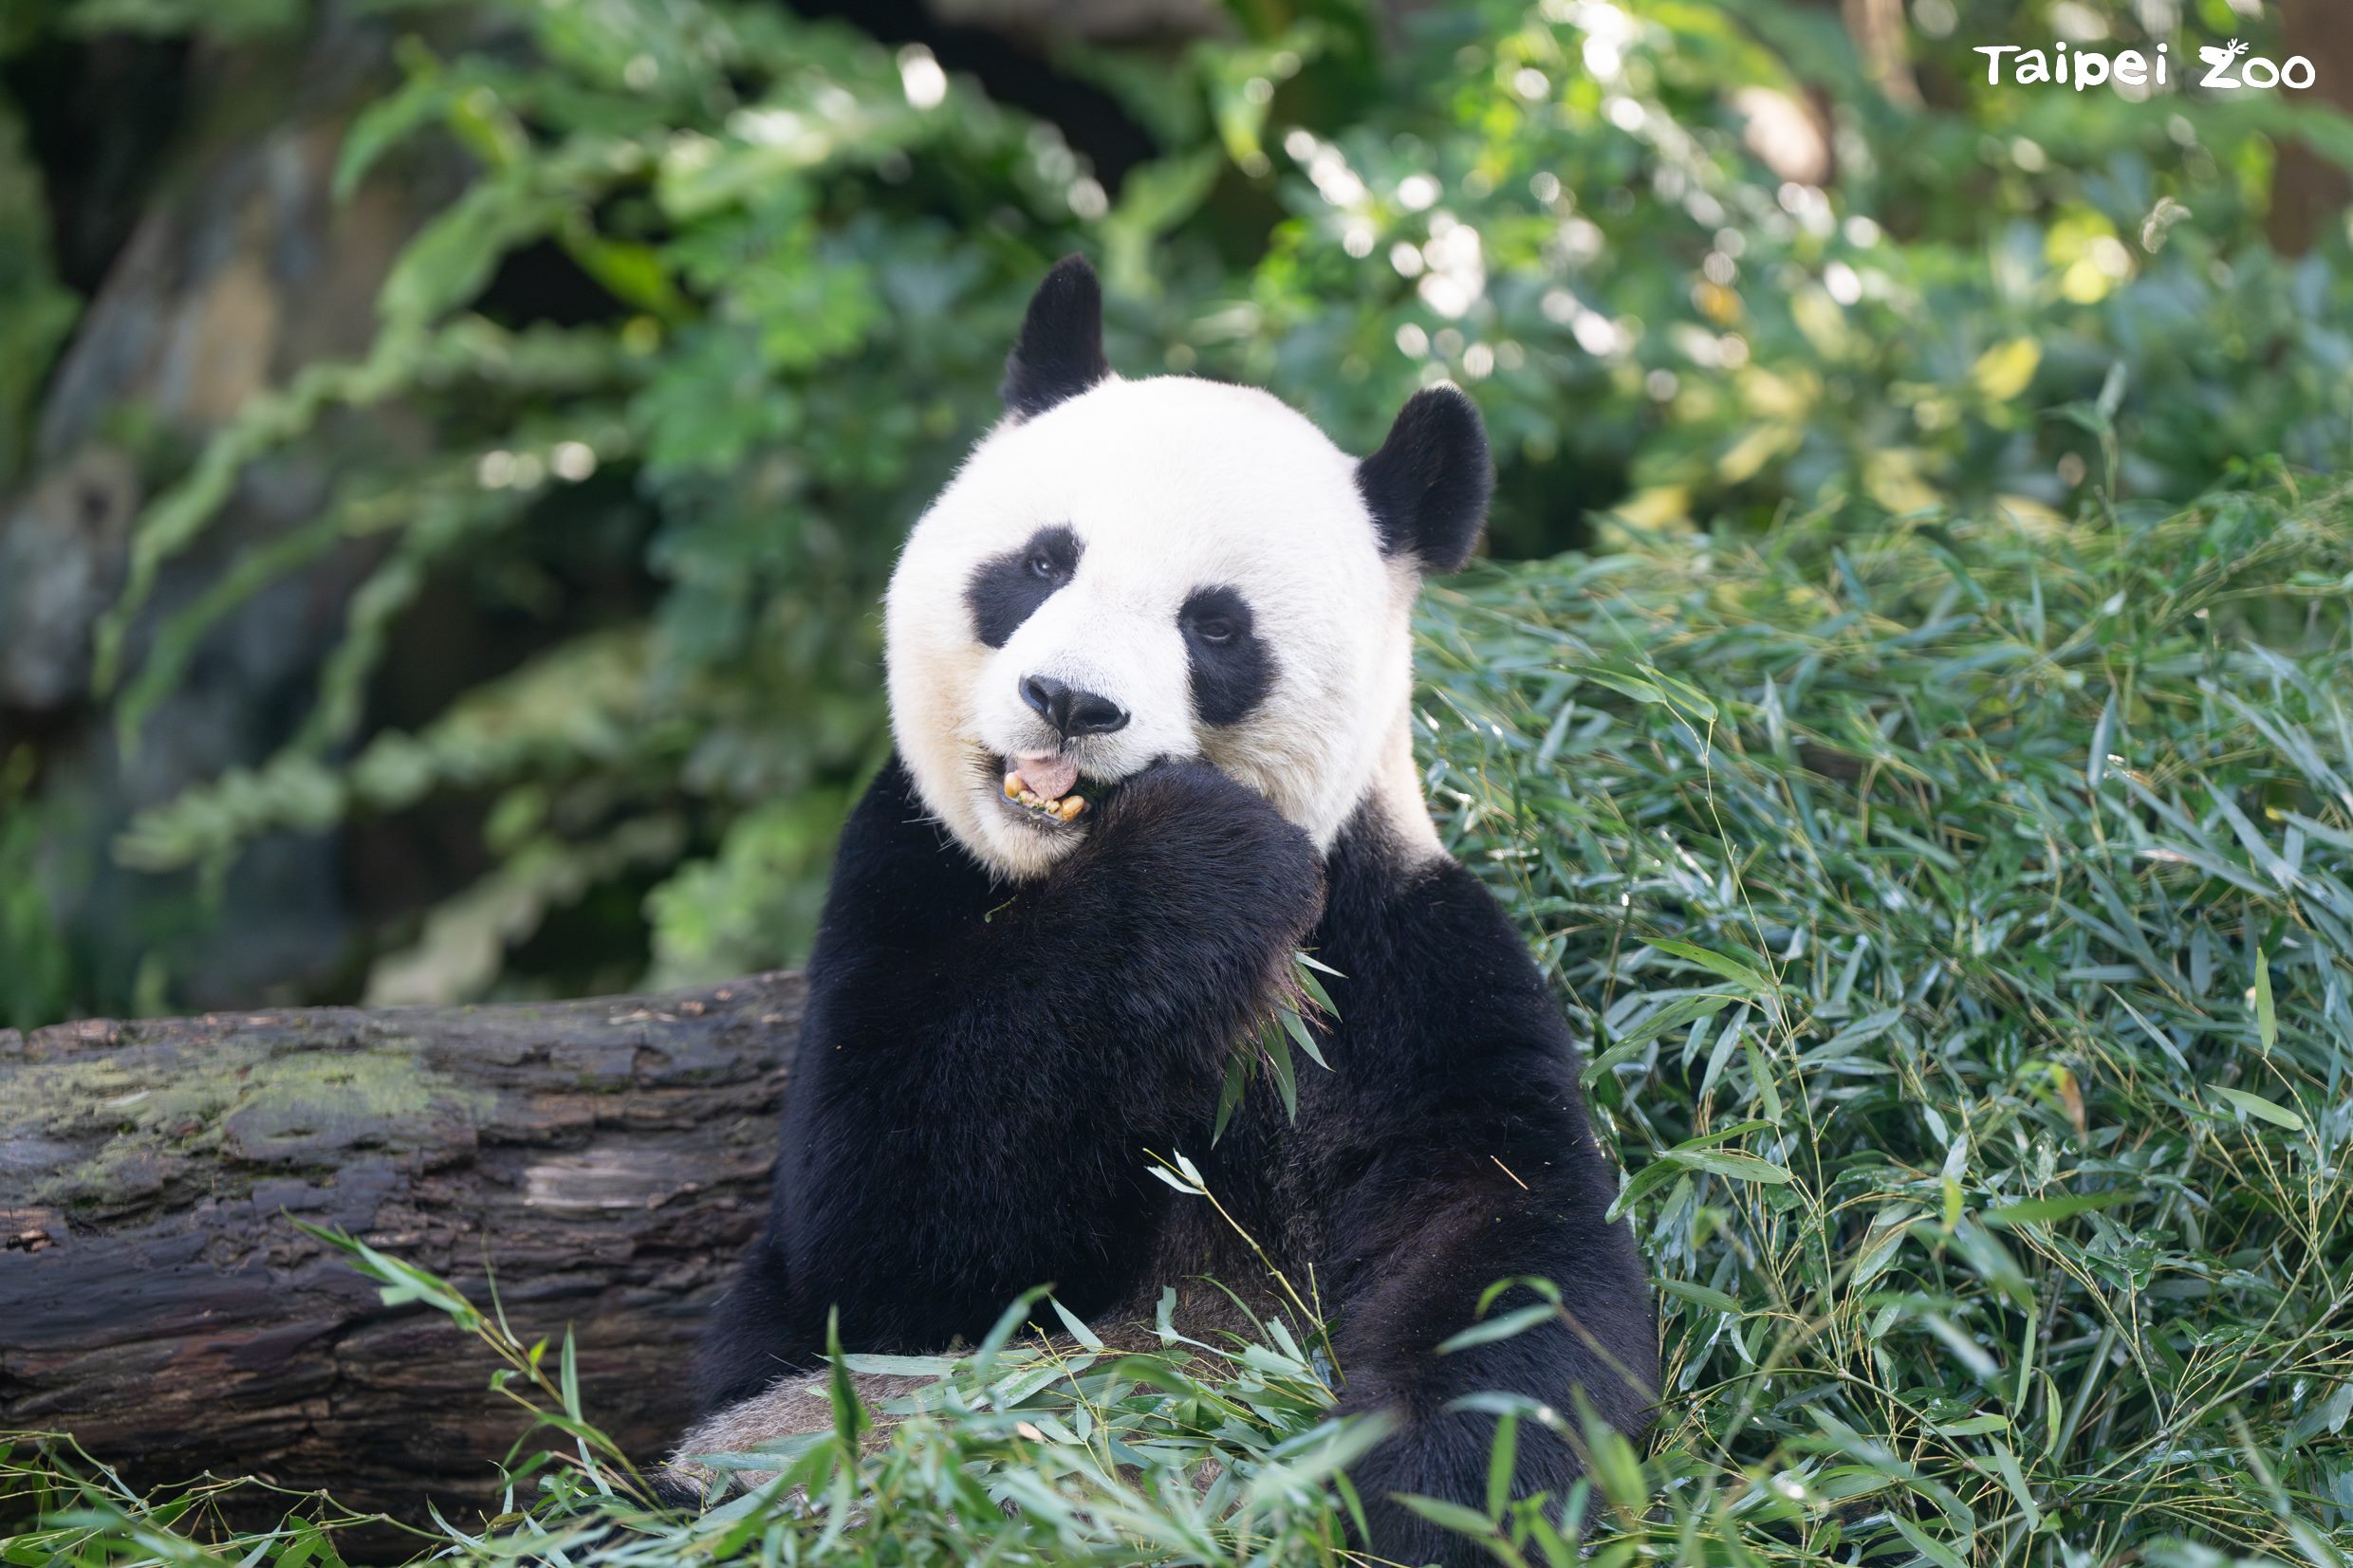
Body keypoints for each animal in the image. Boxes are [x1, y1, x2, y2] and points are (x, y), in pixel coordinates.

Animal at [668, 254, 1656, 1560]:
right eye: (1042, 563)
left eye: (1214, 625)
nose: (1069, 701)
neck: (1052, 865)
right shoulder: (902, 870)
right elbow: (871, 1246)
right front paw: (1200, 866)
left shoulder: (1394, 948)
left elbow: (1501, 1230)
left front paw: (1428, 1495)